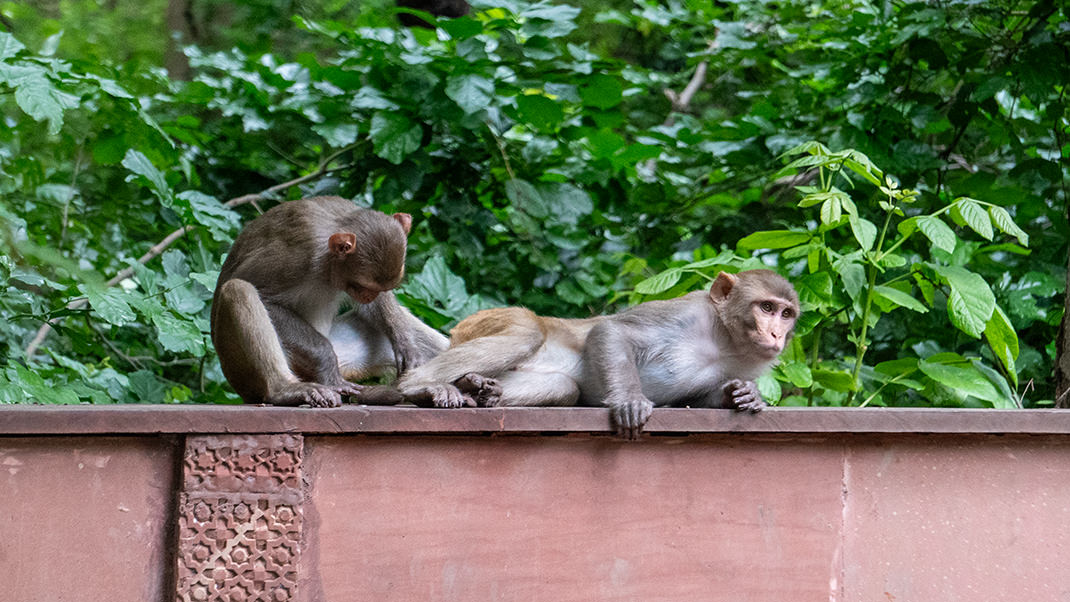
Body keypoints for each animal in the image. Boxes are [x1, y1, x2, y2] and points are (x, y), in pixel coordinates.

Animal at [208, 195, 447, 408]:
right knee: (238, 289)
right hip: (245, 373)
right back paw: (286, 390)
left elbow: (371, 309)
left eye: (378, 289)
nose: (370, 295)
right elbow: (263, 296)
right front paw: (326, 359)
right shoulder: (297, 257)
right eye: (361, 286)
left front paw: (406, 345)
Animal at [398, 269, 800, 438]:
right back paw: (421, 387)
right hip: (483, 321)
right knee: (528, 332)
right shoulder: (685, 312)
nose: (776, 334)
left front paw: (744, 394)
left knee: (565, 388)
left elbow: (699, 400)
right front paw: (630, 401)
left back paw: (477, 389)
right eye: (766, 307)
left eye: (787, 313)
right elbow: (611, 331)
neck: (721, 339)